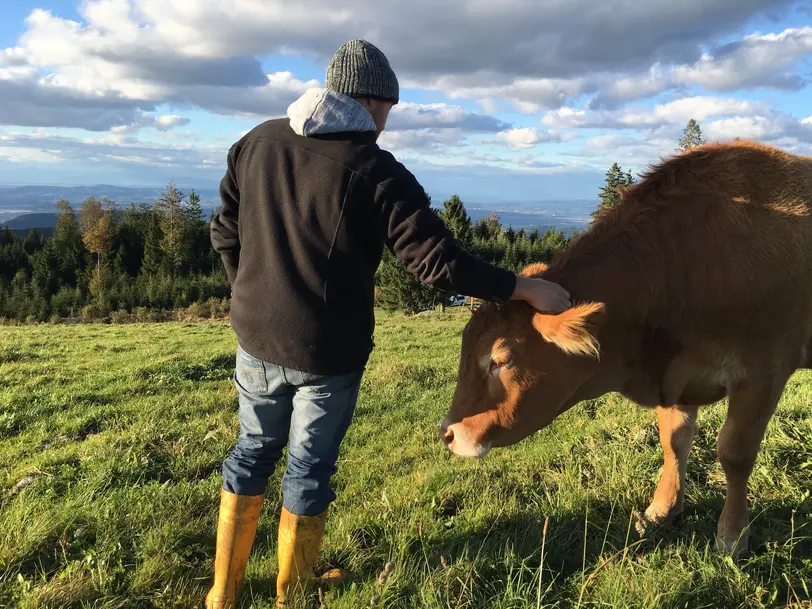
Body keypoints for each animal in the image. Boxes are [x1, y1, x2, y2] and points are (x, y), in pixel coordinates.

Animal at [440, 141, 812, 556]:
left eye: (499, 361)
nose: (448, 434)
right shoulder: (677, 375)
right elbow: (674, 443)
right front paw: (662, 509)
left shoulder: (763, 371)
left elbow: (735, 454)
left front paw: (732, 534)